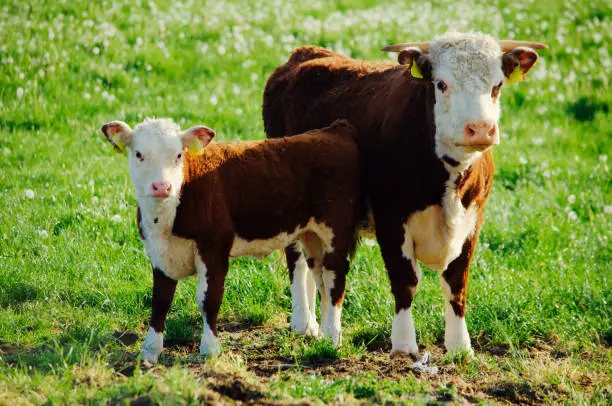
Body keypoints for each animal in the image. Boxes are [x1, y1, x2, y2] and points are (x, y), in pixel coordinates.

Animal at [98, 117, 360, 362]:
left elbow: (209, 299)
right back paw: (323, 335)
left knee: (335, 281)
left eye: (179, 155)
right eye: (139, 154)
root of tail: (334, 130)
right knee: (321, 280)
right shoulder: (158, 252)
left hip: (335, 232)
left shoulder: (214, 248)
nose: (162, 186)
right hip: (311, 236)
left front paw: (210, 349)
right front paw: (150, 351)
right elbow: (160, 301)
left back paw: (334, 340)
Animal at [260, 31, 548, 356]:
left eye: (497, 85)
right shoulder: (391, 219)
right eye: (441, 83)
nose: (481, 128)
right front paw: (404, 344)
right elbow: (405, 280)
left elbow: (456, 283)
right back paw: (302, 322)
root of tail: (306, 53)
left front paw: (460, 346)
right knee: (296, 258)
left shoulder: (473, 220)